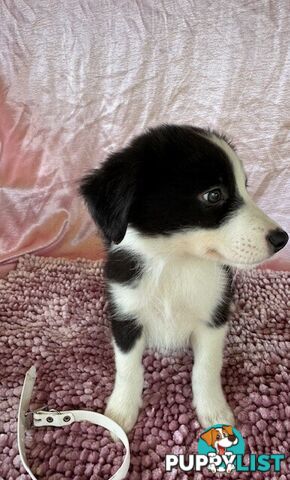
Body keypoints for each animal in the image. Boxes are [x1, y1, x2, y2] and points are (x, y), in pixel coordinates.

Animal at [78, 124, 288, 432]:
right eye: (214, 195)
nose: (281, 239)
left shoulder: (213, 317)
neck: (173, 263)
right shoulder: (126, 315)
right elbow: (128, 367)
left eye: (245, 187)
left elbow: (207, 367)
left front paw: (214, 411)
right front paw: (120, 411)